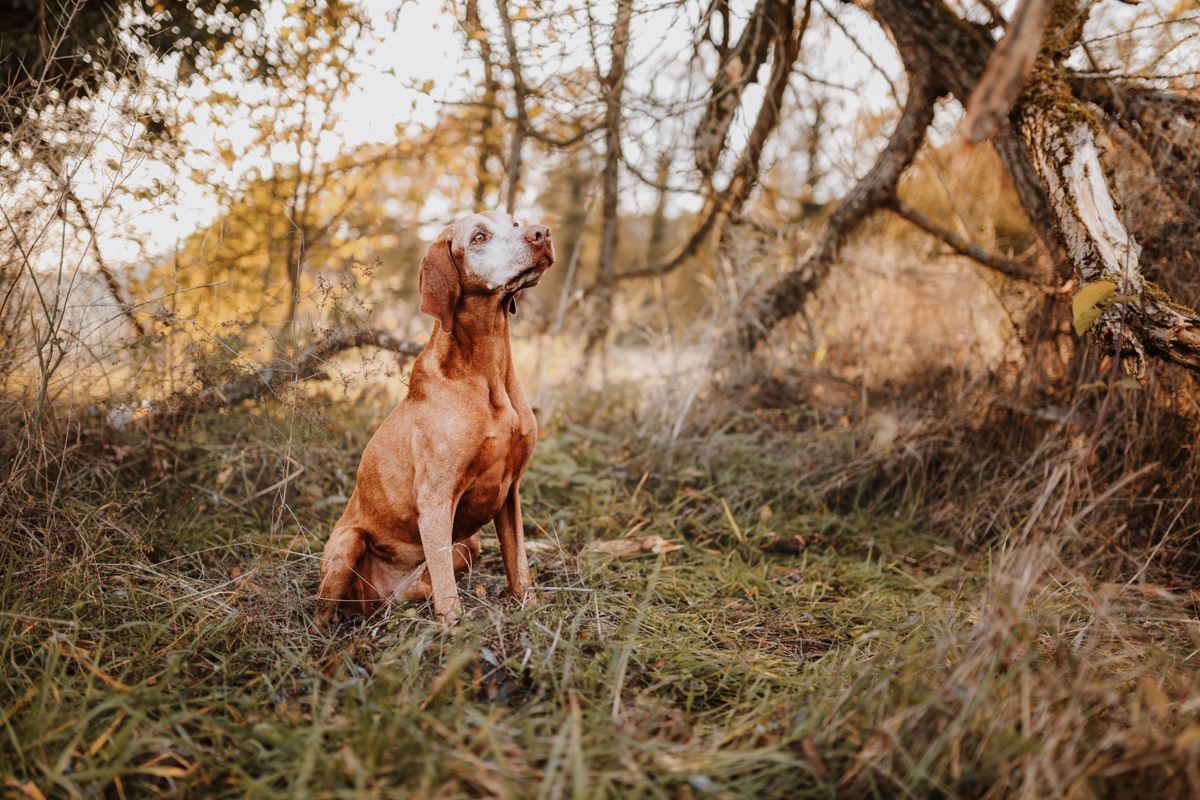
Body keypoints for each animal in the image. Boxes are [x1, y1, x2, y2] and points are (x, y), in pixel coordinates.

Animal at [319, 212, 556, 623]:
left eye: (514, 223)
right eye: (478, 237)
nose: (541, 232)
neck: (487, 369)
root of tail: (380, 599)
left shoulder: (510, 490)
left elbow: (519, 564)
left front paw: (529, 609)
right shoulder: (435, 499)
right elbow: (448, 591)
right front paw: (455, 628)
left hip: (468, 545)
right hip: (349, 542)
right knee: (326, 611)